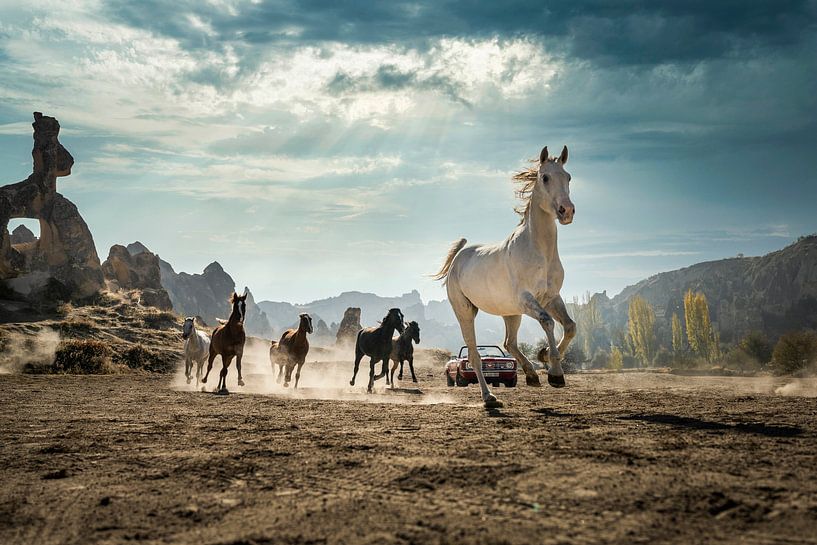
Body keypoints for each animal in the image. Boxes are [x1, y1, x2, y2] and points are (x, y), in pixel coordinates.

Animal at [436, 146, 576, 408]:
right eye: (545, 177)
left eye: (569, 177)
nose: (567, 211)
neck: (538, 250)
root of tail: (459, 256)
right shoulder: (527, 300)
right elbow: (548, 322)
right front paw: (555, 374)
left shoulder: (552, 297)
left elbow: (570, 326)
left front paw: (546, 357)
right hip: (466, 312)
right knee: (475, 355)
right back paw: (489, 398)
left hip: (510, 313)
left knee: (509, 342)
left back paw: (531, 375)